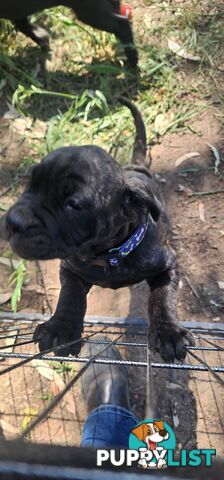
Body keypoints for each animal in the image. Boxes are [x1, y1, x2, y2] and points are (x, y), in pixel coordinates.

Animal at [0, 0, 137, 68]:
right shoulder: (16, 10)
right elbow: (22, 23)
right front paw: (43, 39)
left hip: (89, 11)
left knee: (122, 25)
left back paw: (132, 63)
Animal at [0, 98, 192, 360]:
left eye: (73, 205)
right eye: (31, 181)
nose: (14, 220)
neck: (109, 255)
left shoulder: (168, 264)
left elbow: (161, 297)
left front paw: (168, 332)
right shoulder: (70, 269)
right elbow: (70, 297)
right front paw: (60, 327)